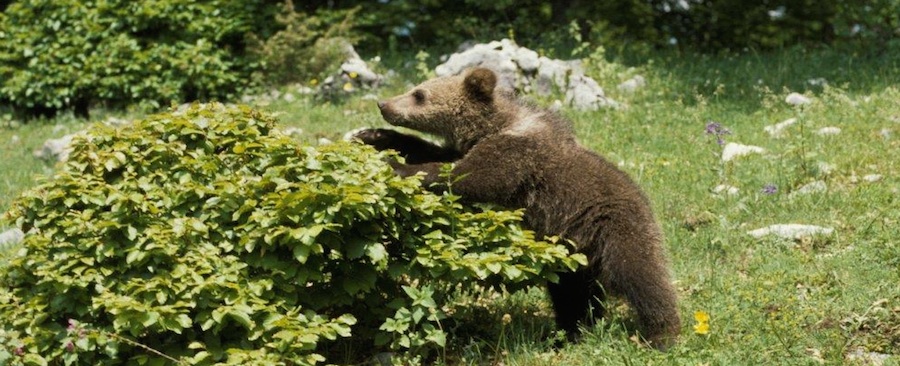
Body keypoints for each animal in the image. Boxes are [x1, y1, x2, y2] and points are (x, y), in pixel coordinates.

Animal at [352, 66, 684, 348]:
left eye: (419, 94)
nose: (384, 104)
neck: (494, 125)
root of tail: (648, 205)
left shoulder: (516, 155)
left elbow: (466, 175)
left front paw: (395, 166)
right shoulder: (471, 147)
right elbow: (438, 154)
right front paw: (374, 136)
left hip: (617, 228)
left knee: (642, 276)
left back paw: (661, 334)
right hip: (571, 253)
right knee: (572, 293)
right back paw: (572, 331)